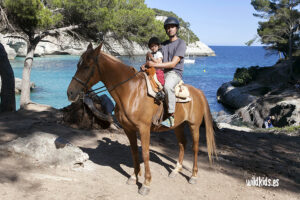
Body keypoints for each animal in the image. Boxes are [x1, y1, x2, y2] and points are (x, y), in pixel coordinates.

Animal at [66, 43, 216, 195]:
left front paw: (146, 183)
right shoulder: (128, 129)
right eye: (78, 65)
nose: (70, 92)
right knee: (182, 144)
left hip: (194, 125)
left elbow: (145, 153)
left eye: (86, 66)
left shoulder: (144, 129)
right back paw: (176, 170)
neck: (131, 92)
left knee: (195, 147)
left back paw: (193, 175)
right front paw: (134, 176)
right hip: (178, 126)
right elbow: (134, 152)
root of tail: (198, 92)